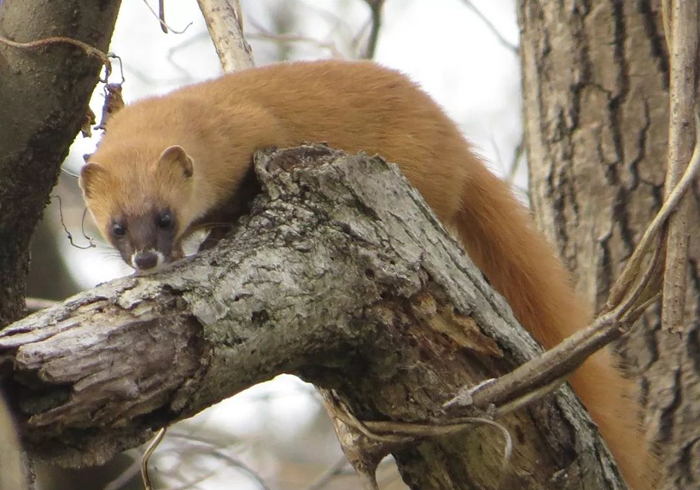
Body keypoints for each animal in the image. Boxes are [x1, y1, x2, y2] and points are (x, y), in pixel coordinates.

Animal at [80, 59, 652, 488]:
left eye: (163, 216)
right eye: (116, 226)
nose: (146, 259)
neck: (224, 118)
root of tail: (458, 147)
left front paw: (220, 235)